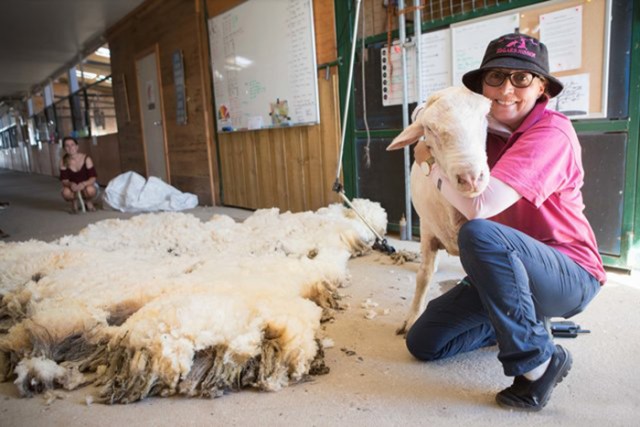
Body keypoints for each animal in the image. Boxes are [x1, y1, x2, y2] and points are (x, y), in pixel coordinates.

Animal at [384, 86, 490, 334]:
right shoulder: (426, 231)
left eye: (485, 118)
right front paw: (412, 318)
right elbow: (423, 275)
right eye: (430, 129)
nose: (471, 178)